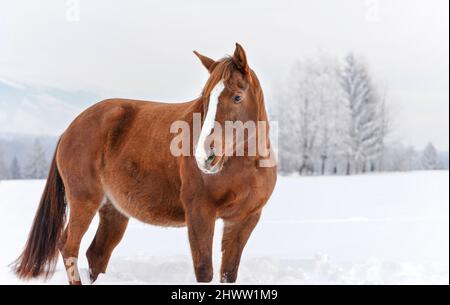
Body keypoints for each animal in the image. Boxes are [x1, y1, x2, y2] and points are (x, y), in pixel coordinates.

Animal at [12, 43, 276, 284]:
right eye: (205, 99)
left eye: (237, 97)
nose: (205, 156)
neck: (243, 167)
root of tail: (70, 129)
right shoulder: (199, 213)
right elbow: (204, 271)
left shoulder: (244, 220)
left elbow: (229, 272)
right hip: (84, 200)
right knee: (69, 246)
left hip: (114, 210)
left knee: (97, 254)